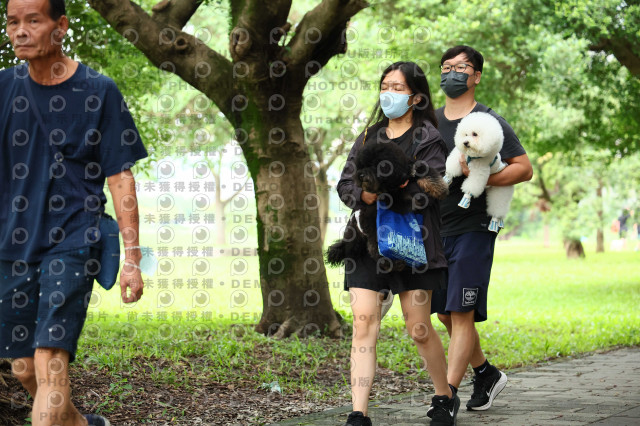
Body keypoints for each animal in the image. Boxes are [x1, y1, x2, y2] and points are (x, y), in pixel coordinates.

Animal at [327, 140, 448, 271]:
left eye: (373, 165)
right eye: (361, 166)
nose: (361, 175)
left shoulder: (412, 167)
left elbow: (427, 172)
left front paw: (440, 189)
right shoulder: (388, 197)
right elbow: (400, 200)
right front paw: (415, 202)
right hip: (374, 230)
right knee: (376, 251)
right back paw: (393, 263)